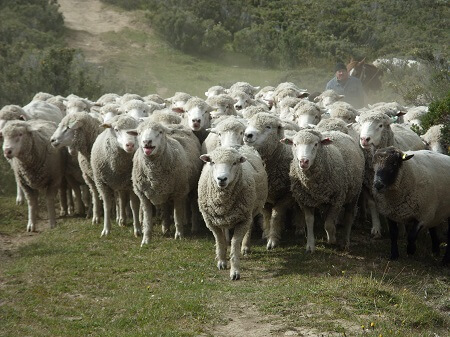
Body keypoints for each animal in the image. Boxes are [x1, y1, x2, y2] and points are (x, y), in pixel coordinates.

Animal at [198, 144, 268, 278]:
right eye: (212, 162)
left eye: (234, 163)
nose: (221, 179)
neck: (223, 201)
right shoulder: (210, 221)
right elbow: (219, 240)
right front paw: (221, 261)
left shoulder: (243, 219)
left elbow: (235, 244)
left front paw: (235, 271)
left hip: (250, 210)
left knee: (250, 226)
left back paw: (245, 247)